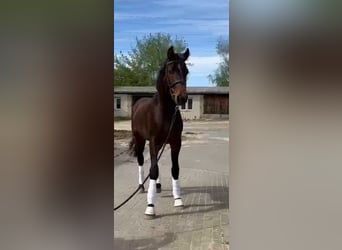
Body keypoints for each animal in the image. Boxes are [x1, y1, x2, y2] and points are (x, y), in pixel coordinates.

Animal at [130, 46, 191, 216]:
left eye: (186, 71)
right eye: (170, 70)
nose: (182, 98)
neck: (164, 113)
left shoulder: (176, 143)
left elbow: (174, 169)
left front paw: (178, 200)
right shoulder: (153, 141)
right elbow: (154, 170)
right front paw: (150, 206)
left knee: (155, 160)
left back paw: (157, 186)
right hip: (140, 140)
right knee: (142, 161)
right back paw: (141, 187)